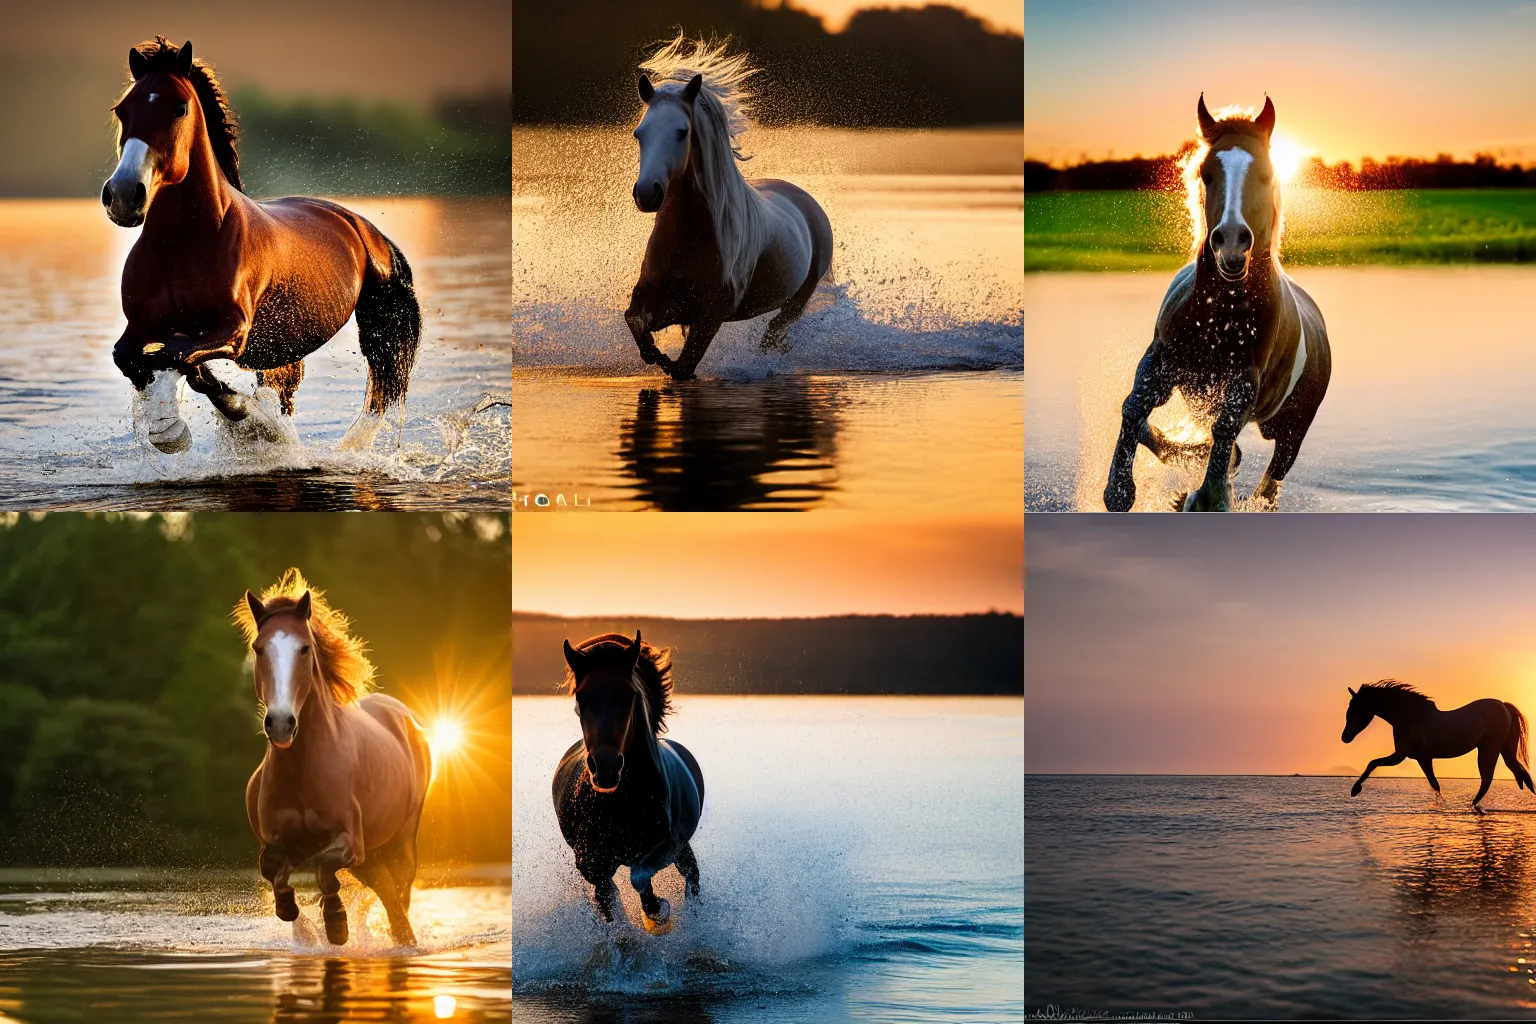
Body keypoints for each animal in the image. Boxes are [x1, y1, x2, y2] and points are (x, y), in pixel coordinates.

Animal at [102, 37, 420, 451]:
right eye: (122, 110)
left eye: (179, 108)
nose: (124, 195)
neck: (185, 245)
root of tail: (364, 229)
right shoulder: (139, 326)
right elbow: (133, 358)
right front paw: (169, 427)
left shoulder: (234, 330)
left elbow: (178, 354)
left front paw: (230, 421)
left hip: (377, 326)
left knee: (378, 396)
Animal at [238, 568, 433, 945]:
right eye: (259, 648)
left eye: (304, 648)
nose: (281, 723)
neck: (303, 768)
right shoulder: (280, 840)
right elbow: (273, 867)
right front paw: (292, 912)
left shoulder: (350, 841)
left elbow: (325, 869)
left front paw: (336, 923)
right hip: (372, 857)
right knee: (386, 891)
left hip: (402, 840)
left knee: (398, 896)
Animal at [552, 629, 706, 933]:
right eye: (581, 696)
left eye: (629, 695)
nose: (606, 767)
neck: (620, 801)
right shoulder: (589, 860)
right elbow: (606, 895)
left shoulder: (667, 845)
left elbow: (639, 876)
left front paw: (658, 912)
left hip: (683, 849)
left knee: (692, 878)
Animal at [1105, 95, 1333, 512]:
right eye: (1205, 173)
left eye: (1265, 174)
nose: (1231, 241)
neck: (1219, 315)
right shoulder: (1161, 360)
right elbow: (1133, 407)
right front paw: (1119, 488)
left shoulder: (1245, 381)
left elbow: (1224, 429)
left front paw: (1207, 496)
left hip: (1293, 430)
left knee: (1270, 481)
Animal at [1339, 684, 1529, 810]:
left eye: (1354, 710)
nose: (1344, 738)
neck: (1410, 716)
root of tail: (1504, 705)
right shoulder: (1405, 755)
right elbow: (1374, 763)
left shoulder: (1413, 756)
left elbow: (1434, 784)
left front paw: (1355, 790)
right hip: (1504, 749)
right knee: (1519, 773)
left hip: (1489, 748)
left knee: (1488, 778)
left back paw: (1474, 804)